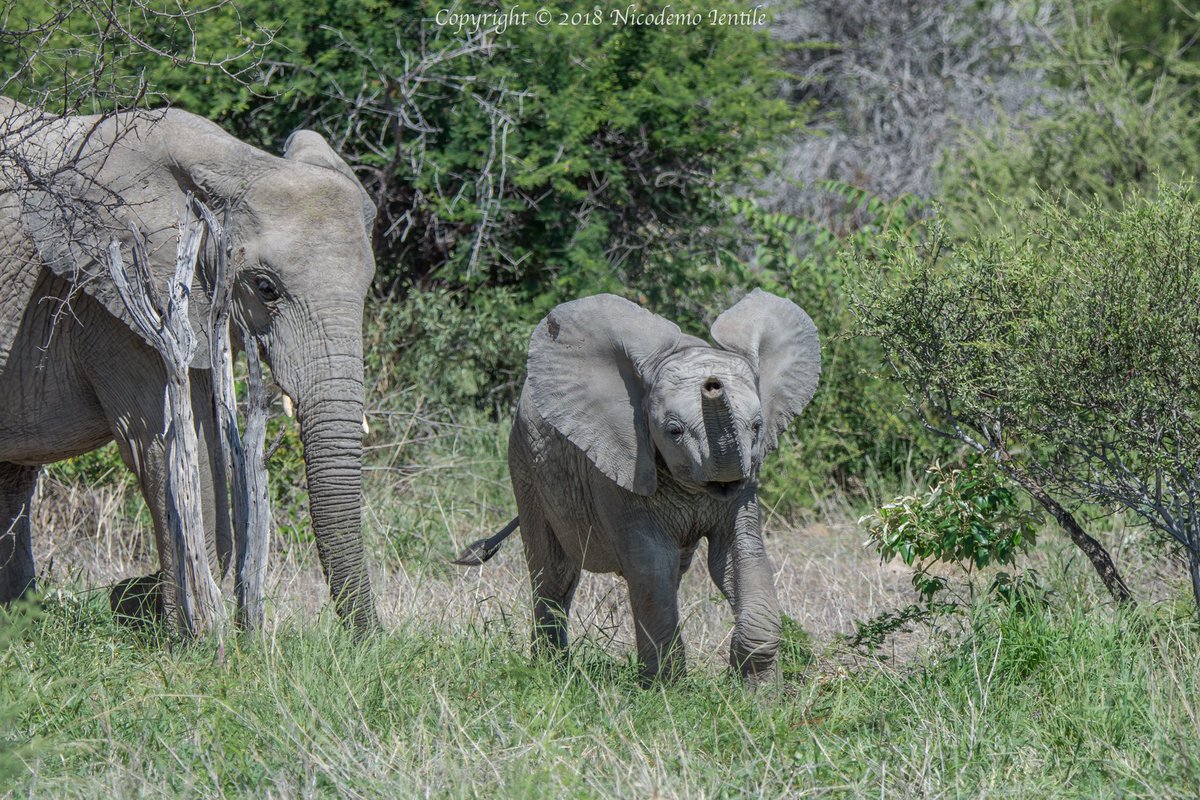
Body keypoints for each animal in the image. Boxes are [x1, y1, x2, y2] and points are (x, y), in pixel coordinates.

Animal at [0, 97, 378, 632]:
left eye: (368, 285)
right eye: (265, 288)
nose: (372, 641)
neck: (237, 163)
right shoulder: (112, 295)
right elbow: (177, 446)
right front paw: (194, 638)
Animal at [455, 290, 821, 684]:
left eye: (756, 426)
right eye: (674, 431)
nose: (712, 384)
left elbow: (739, 555)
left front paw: (759, 693)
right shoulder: (621, 466)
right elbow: (651, 563)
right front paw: (668, 690)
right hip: (525, 464)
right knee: (553, 573)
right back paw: (551, 672)